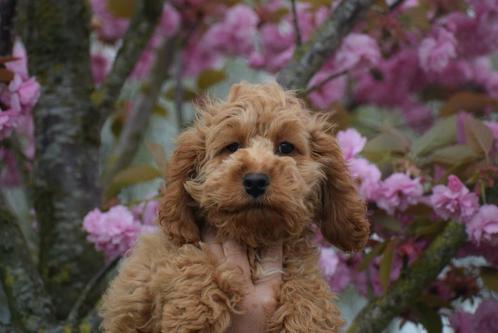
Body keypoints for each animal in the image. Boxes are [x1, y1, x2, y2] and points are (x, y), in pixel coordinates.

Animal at [101, 81, 370, 330]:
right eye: (232, 147)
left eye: (285, 147)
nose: (255, 180)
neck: (253, 239)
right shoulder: (146, 275)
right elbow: (189, 259)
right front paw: (194, 310)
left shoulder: (297, 263)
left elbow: (307, 287)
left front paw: (304, 316)